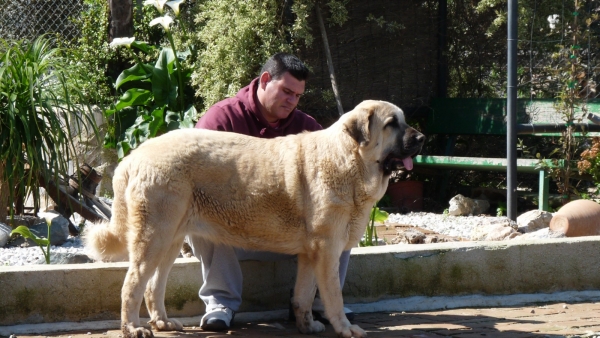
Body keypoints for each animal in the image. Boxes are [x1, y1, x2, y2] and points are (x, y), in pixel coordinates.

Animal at [86, 99, 426, 336]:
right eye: (392, 123)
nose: (422, 138)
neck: (348, 158)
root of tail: (133, 156)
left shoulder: (311, 254)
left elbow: (304, 295)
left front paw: (307, 326)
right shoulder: (327, 250)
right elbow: (334, 297)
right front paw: (344, 328)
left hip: (170, 239)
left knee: (154, 286)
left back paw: (163, 323)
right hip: (154, 238)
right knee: (132, 284)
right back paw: (133, 328)